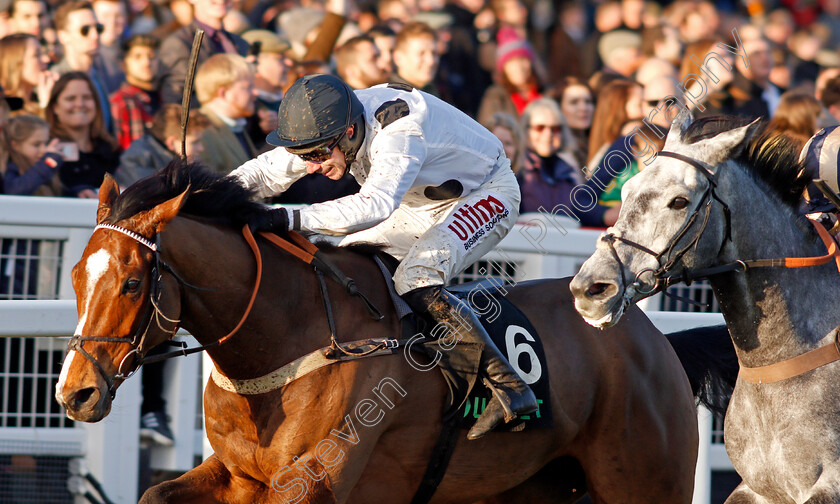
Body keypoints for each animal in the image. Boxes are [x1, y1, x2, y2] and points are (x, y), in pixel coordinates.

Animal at [57, 163, 728, 502]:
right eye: (75, 275)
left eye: (131, 283)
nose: (75, 392)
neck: (290, 338)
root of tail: (657, 343)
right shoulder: (239, 475)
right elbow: (154, 496)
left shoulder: (314, 482)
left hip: (644, 482)